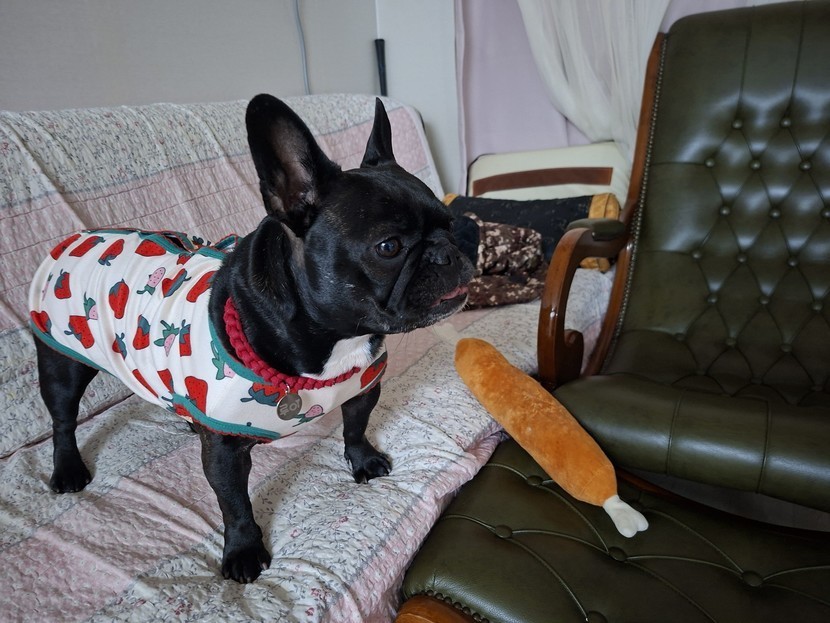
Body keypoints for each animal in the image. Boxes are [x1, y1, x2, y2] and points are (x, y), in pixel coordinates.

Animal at [28, 94, 474, 583]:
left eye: (452, 224)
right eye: (389, 247)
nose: (449, 252)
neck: (332, 338)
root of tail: (74, 239)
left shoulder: (362, 389)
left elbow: (356, 426)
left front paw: (363, 461)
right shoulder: (225, 454)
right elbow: (235, 503)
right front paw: (243, 551)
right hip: (61, 362)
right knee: (63, 418)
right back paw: (68, 468)